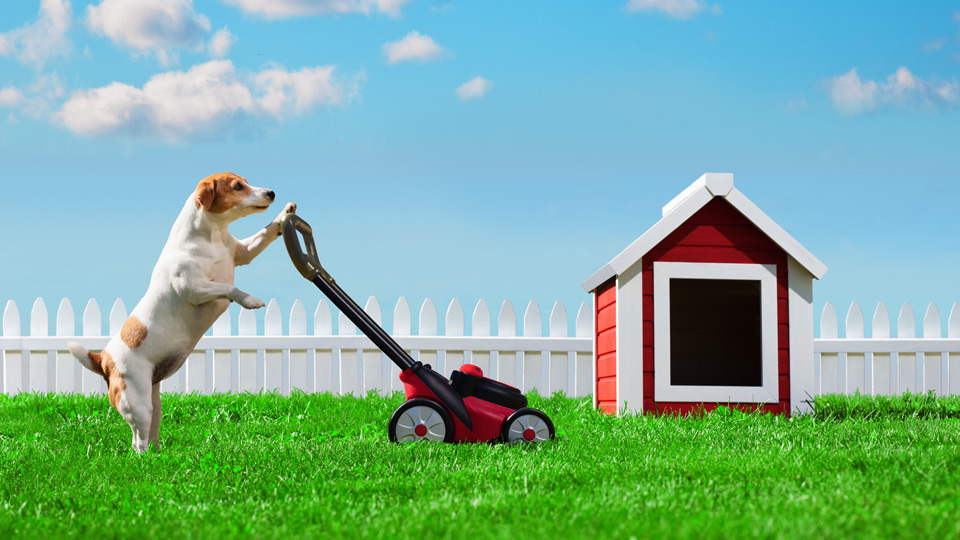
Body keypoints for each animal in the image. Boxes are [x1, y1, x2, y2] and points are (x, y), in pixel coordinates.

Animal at [67, 172, 294, 452]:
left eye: (246, 180)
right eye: (237, 186)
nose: (272, 192)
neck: (212, 238)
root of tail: (103, 359)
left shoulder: (243, 252)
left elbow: (265, 233)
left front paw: (286, 212)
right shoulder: (193, 289)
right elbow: (228, 287)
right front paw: (249, 299)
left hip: (154, 402)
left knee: (149, 435)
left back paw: (159, 455)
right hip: (138, 404)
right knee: (138, 441)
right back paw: (146, 458)